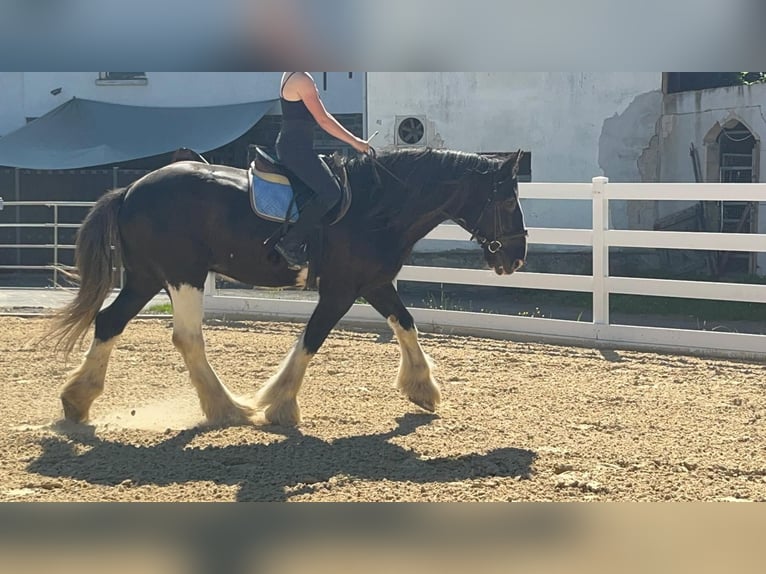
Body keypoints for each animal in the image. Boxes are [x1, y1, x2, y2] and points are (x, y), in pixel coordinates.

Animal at [44, 147, 528, 427]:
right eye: (507, 199)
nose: (517, 257)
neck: (375, 208)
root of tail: (129, 190)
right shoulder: (340, 291)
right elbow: (311, 340)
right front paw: (278, 405)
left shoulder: (374, 284)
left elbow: (406, 323)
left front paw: (422, 389)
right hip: (183, 276)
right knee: (186, 337)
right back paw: (227, 408)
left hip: (147, 278)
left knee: (109, 322)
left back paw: (77, 400)